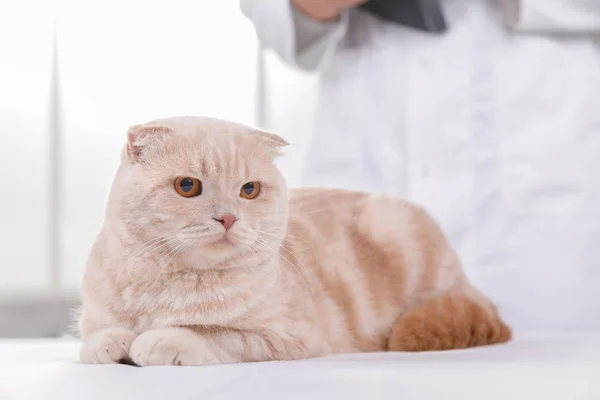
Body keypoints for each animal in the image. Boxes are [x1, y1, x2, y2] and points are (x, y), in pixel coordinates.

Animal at [78, 115, 510, 366]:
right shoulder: (93, 318)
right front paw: (113, 342)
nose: (229, 217)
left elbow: (213, 334)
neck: (167, 285)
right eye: (188, 186)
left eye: (249, 189)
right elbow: (95, 337)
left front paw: (160, 339)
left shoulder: (290, 338)